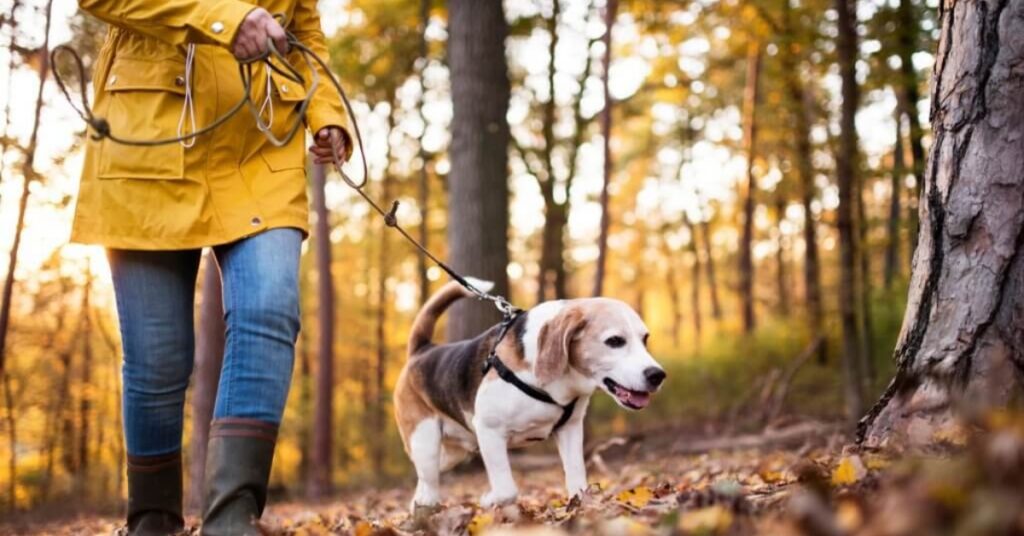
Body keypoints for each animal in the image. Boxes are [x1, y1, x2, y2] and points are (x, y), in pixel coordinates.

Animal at [391, 278, 663, 510]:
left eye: (645, 339)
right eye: (615, 341)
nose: (657, 375)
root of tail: (422, 350)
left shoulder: (571, 429)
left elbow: (578, 480)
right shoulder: (489, 430)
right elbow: (506, 490)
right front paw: (489, 500)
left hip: (451, 454)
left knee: (425, 480)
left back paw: (420, 507)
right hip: (425, 442)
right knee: (429, 479)